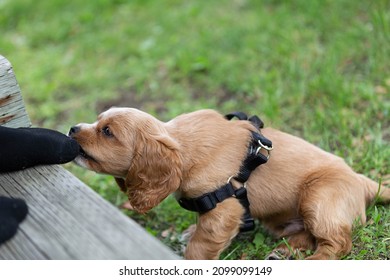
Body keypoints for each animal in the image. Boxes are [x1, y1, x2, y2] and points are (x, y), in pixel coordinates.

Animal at [68, 107, 388, 260]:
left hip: (318, 198)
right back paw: (284, 251)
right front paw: (188, 232)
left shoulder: (224, 210)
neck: (185, 147)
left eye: (107, 132)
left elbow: (200, 246)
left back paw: (312, 261)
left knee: (338, 243)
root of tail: (363, 181)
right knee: (307, 235)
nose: (72, 128)